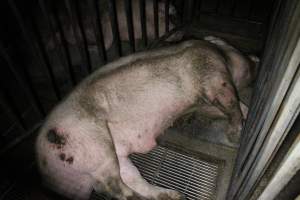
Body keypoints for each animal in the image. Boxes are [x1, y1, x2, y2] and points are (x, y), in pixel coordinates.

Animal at [36, 39, 245, 200]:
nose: (249, 59)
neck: (219, 52)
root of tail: (42, 161)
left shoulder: (204, 101)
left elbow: (234, 108)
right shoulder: (214, 76)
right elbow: (231, 103)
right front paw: (235, 136)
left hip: (112, 157)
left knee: (133, 179)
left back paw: (175, 196)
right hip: (93, 146)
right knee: (114, 188)